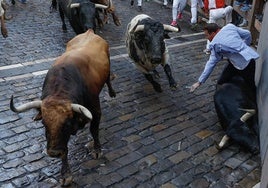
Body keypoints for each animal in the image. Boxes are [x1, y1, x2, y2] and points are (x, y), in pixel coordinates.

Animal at [9, 29, 116, 187]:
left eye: (66, 124)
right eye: (44, 123)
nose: (53, 153)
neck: (61, 92)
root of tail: (89, 31)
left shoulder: (96, 110)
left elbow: (94, 130)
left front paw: (97, 149)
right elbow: (64, 150)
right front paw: (66, 174)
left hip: (108, 66)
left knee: (108, 79)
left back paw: (112, 92)